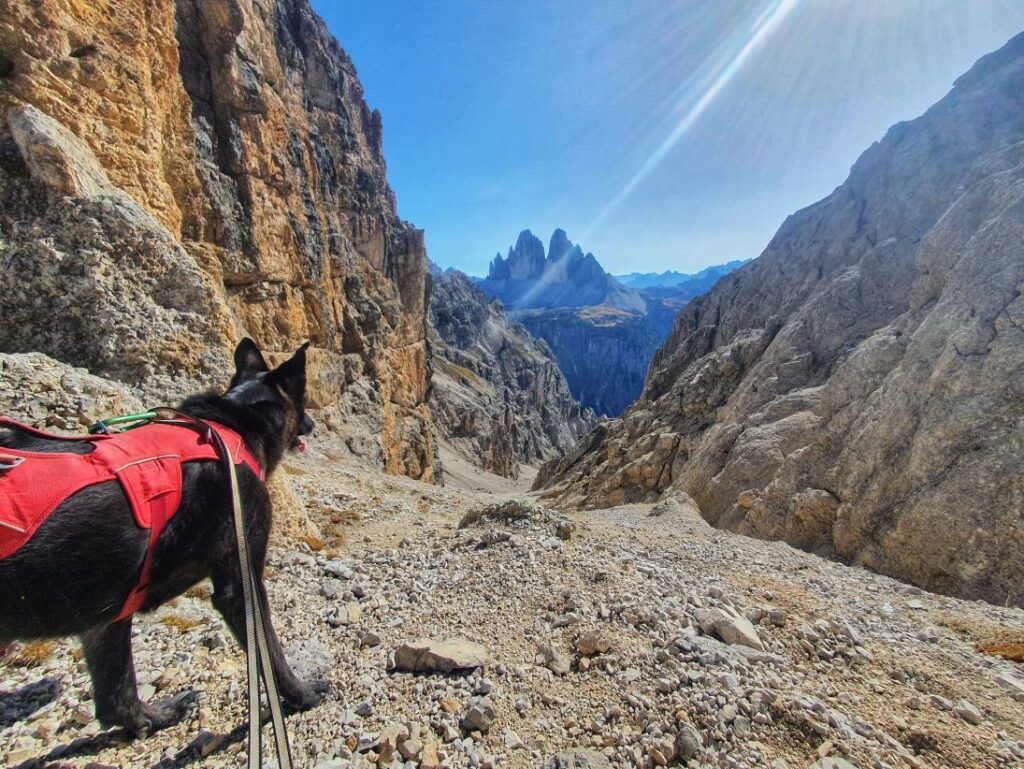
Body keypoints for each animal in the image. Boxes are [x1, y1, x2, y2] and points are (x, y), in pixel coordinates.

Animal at [0, 342, 323, 733]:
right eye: (303, 402)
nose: (313, 424)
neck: (236, 427)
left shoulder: (111, 610)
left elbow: (116, 692)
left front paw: (154, 716)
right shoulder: (240, 579)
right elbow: (270, 653)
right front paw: (303, 695)